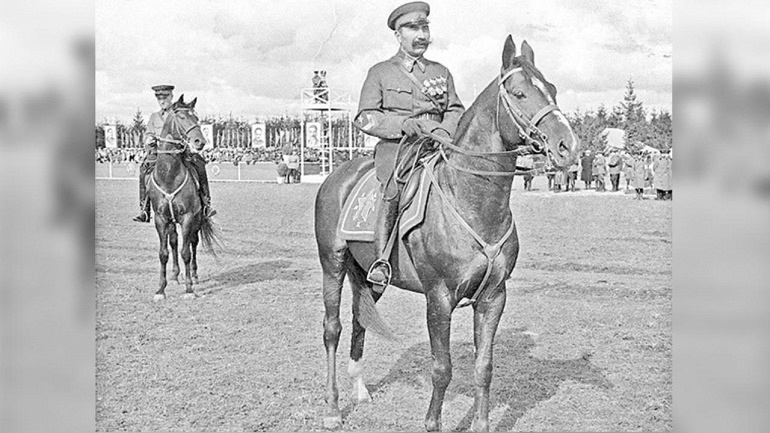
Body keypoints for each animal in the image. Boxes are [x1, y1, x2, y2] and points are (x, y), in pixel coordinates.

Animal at [147, 95, 220, 301]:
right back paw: (174, 275)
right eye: (180, 116)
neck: (169, 176)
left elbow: (186, 252)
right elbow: (163, 253)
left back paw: (193, 276)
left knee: (193, 243)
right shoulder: (161, 219)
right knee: (173, 242)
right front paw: (160, 290)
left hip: (197, 220)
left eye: (196, 117)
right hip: (172, 222)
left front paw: (189, 289)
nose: (199, 141)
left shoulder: (188, 218)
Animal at [315, 36, 578, 432]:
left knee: (360, 320)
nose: (568, 146)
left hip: (370, 279)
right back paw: (332, 408)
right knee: (333, 328)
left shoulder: (493, 298)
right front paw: (432, 423)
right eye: (519, 93)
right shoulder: (438, 299)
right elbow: (443, 368)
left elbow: (484, 367)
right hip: (332, 265)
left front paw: (482, 424)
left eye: (553, 89)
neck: (472, 200)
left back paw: (359, 391)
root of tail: (337, 176)